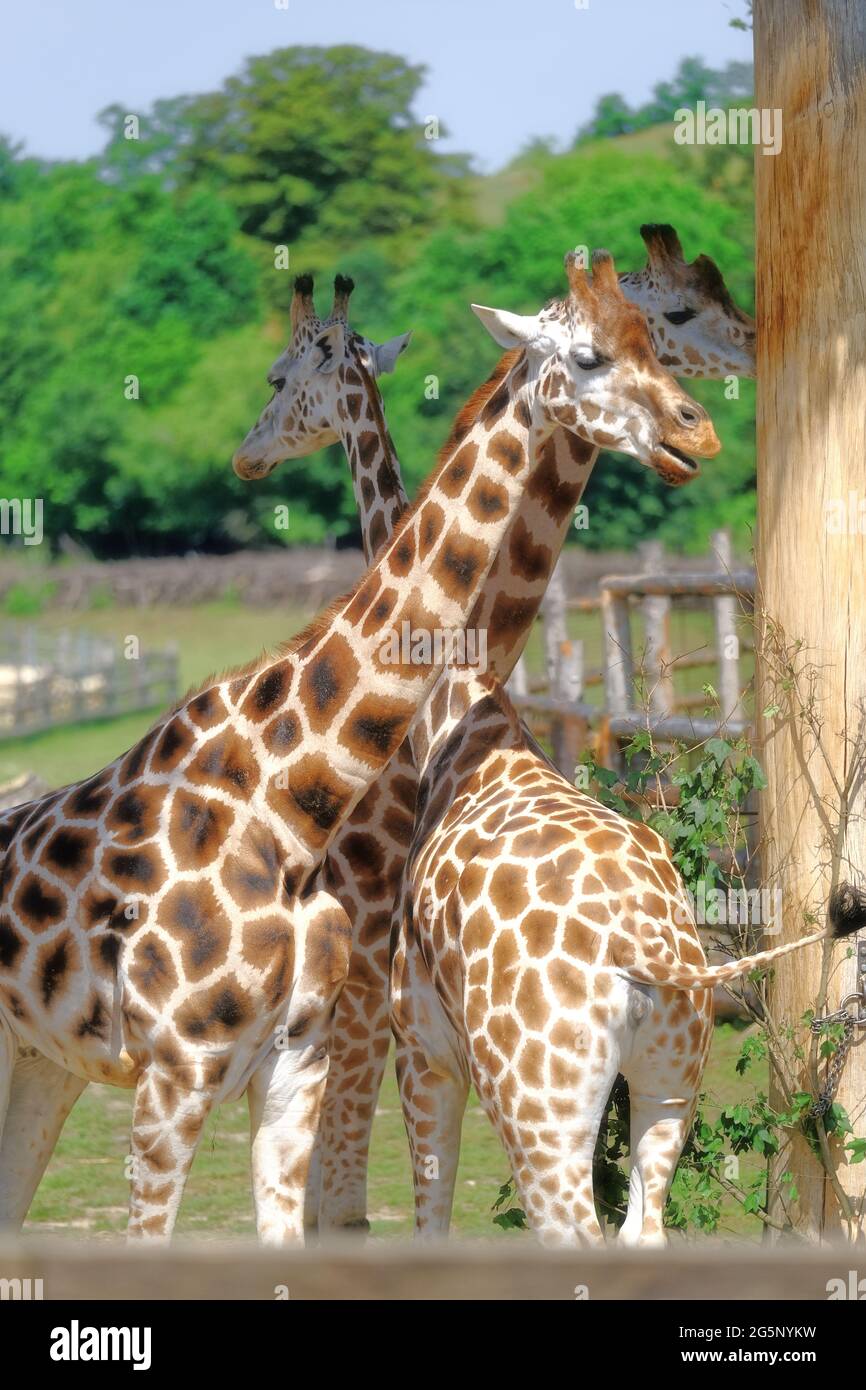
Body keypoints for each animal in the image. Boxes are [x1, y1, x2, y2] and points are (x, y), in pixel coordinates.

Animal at [0, 255, 715, 1243]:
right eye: (595, 354)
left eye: (274, 378)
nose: (698, 429)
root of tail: (651, 949)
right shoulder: (233, 1057)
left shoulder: (337, 1040)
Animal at [391, 668, 866, 1246]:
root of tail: (636, 940)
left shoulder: (421, 1050)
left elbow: (431, 1209)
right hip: (672, 1079)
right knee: (643, 1225)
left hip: (535, 1111)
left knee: (576, 1230)